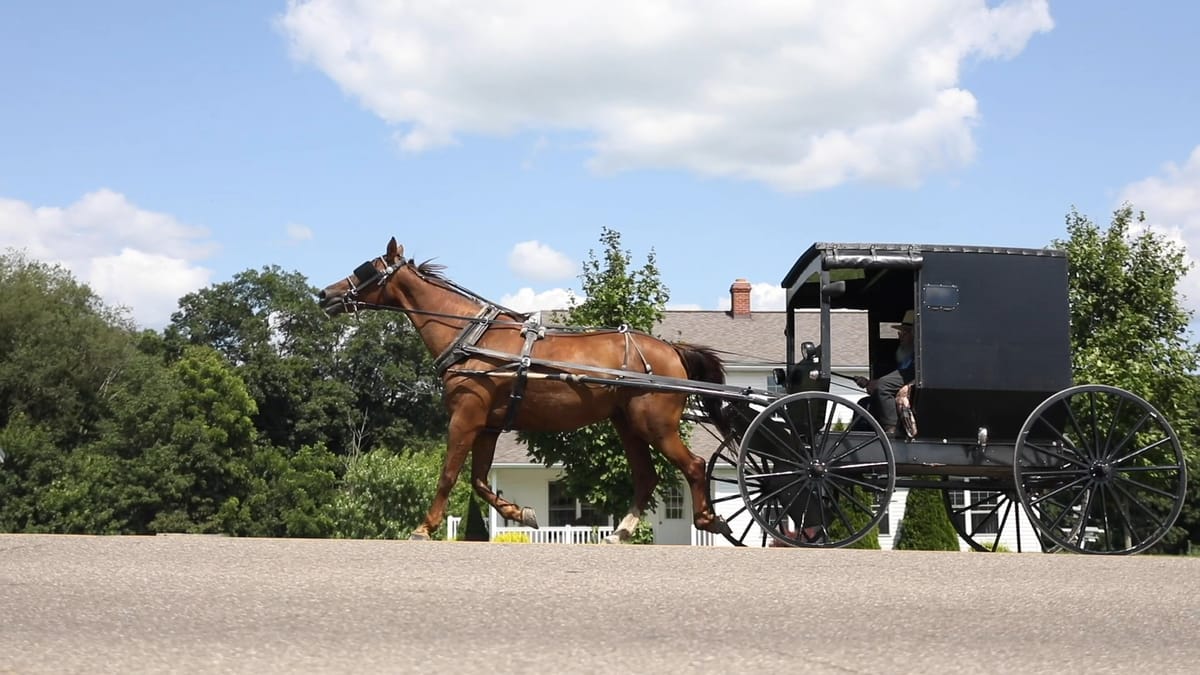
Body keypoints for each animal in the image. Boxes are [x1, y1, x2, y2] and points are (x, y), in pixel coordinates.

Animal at [317, 237, 734, 542]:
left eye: (367, 269)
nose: (325, 295)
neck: (470, 336)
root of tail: (672, 350)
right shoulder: (487, 425)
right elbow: (479, 480)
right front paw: (521, 513)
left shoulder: (466, 416)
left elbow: (449, 473)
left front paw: (424, 527)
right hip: (627, 425)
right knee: (647, 477)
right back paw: (621, 532)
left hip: (654, 424)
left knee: (694, 465)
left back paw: (708, 519)